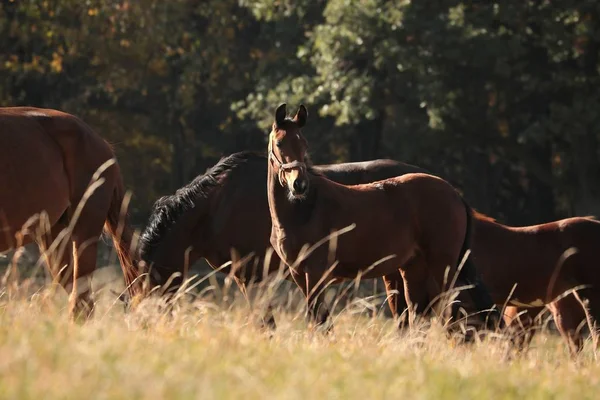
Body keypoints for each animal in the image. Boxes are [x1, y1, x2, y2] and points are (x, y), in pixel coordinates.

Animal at [268, 101, 502, 332]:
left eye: (304, 144)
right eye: (279, 143)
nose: (299, 185)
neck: (305, 210)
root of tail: (455, 194)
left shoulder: (316, 273)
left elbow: (319, 320)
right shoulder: (300, 275)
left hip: (442, 266)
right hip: (414, 269)